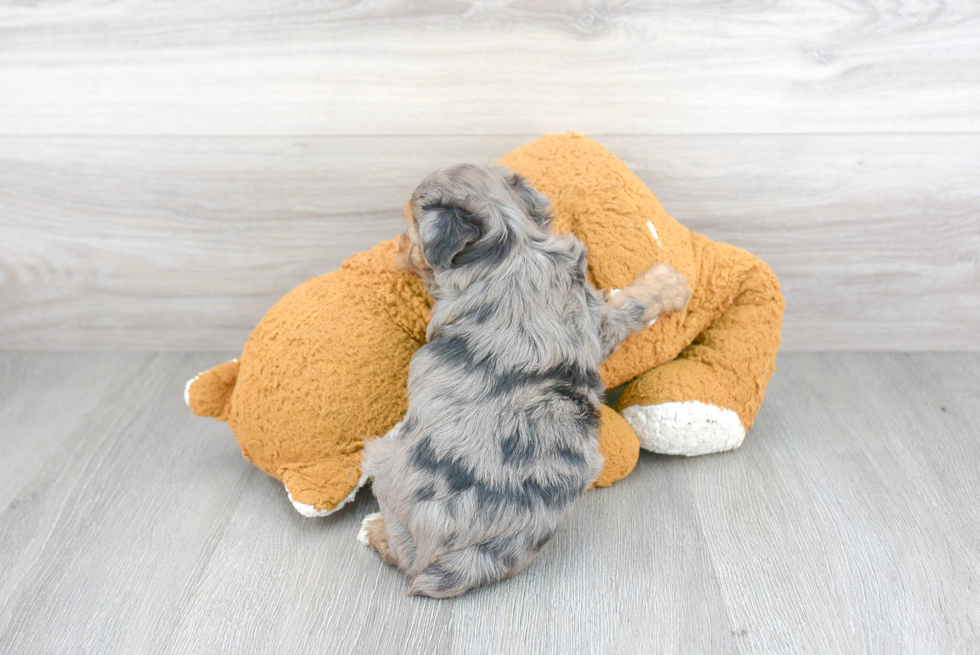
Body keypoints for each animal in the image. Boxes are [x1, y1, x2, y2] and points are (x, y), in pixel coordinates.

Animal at [360, 165, 688, 600]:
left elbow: (628, 305)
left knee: (397, 551)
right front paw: (668, 284)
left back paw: (372, 529)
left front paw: (667, 283)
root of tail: (454, 563)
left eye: (409, 227)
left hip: (381, 457)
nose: (396, 250)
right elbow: (627, 307)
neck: (512, 241)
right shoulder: (591, 321)